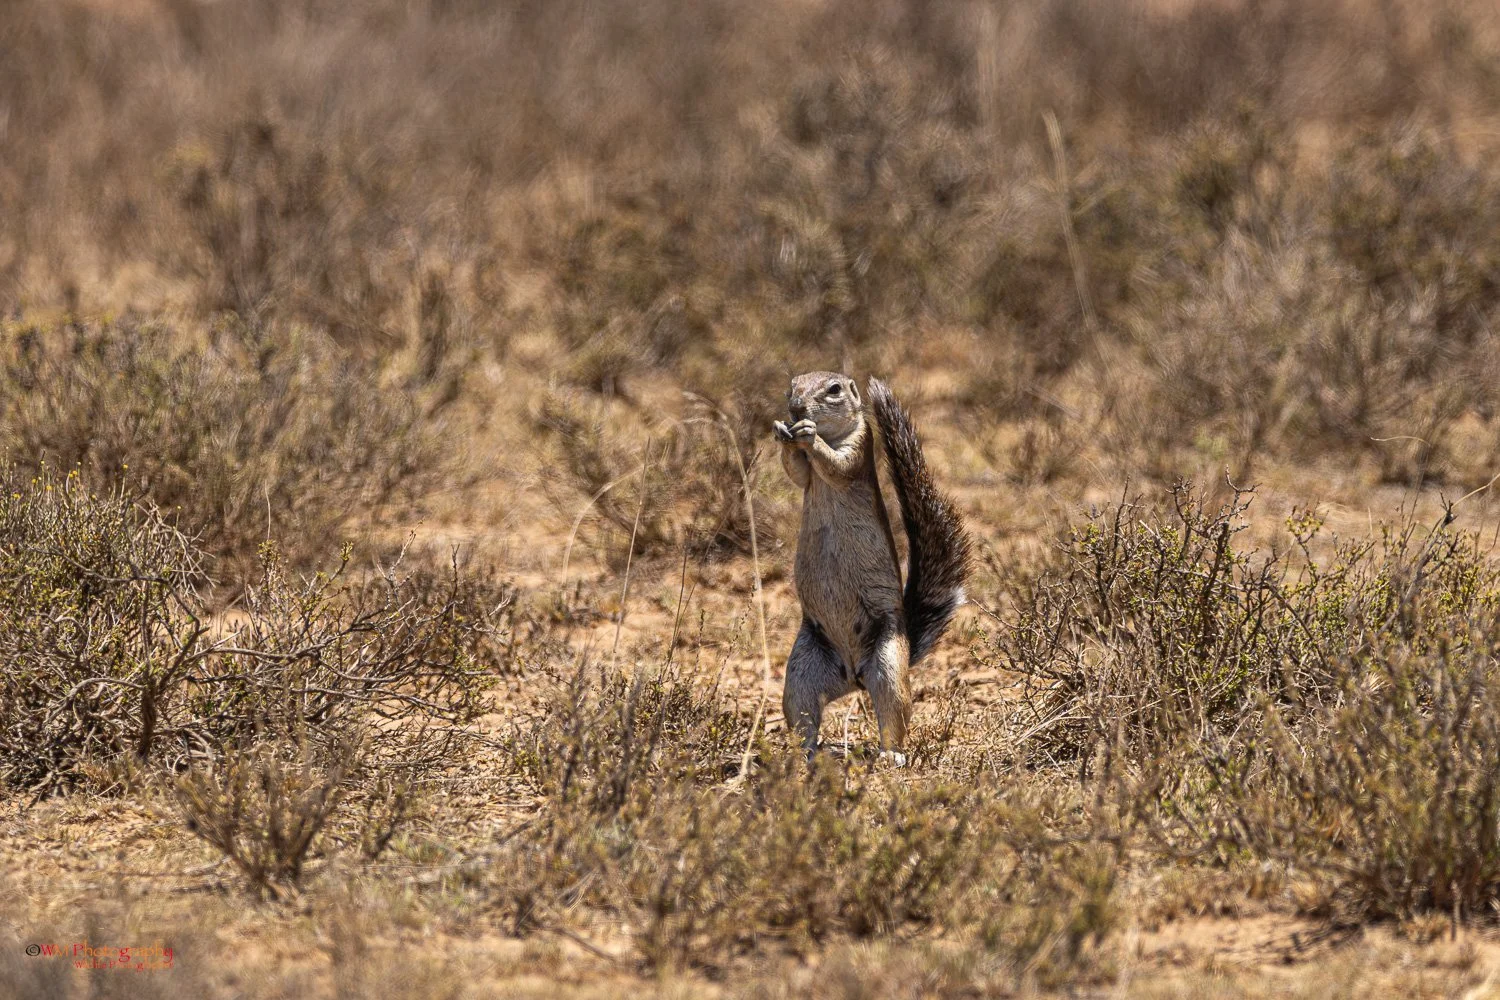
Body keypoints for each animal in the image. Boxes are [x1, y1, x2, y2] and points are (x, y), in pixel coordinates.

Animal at [772, 371, 971, 761]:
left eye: (834, 390)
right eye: (792, 387)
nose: (796, 408)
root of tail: (853, 678)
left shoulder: (860, 445)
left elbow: (836, 464)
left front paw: (809, 434)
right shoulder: (805, 473)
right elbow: (796, 472)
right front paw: (783, 432)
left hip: (889, 664)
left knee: (893, 712)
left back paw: (890, 755)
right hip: (801, 674)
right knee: (805, 717)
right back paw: (804, 754)